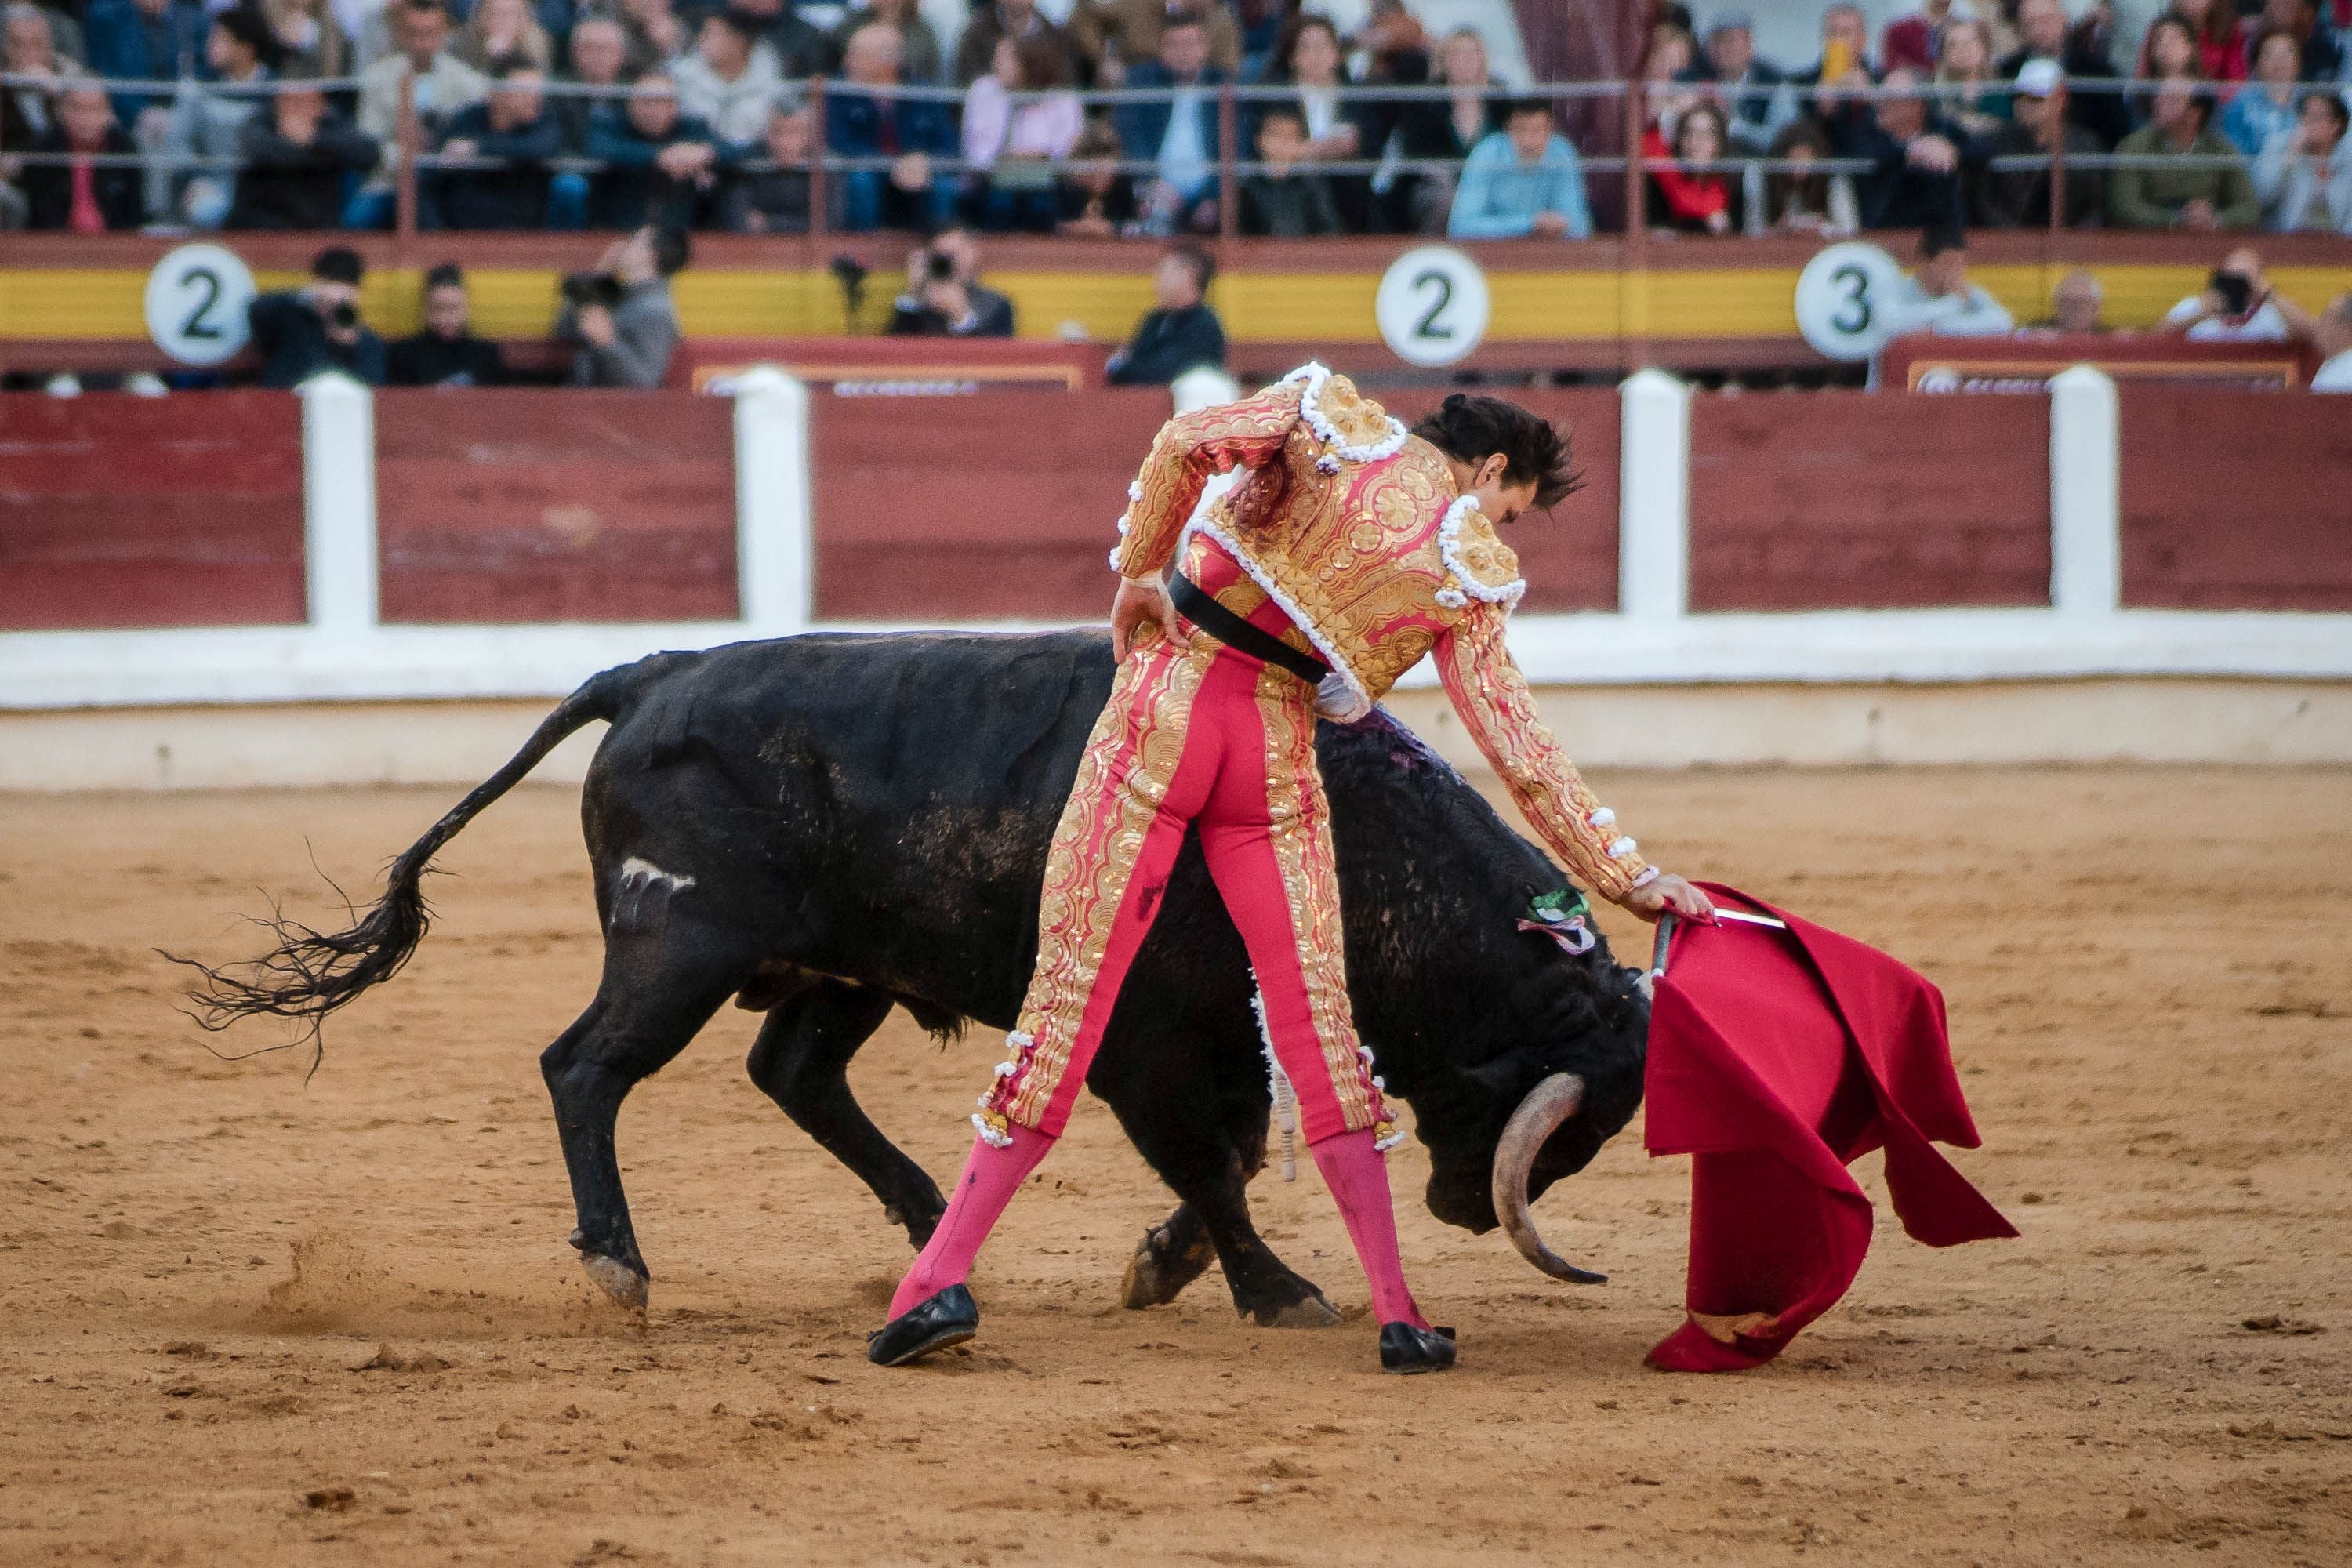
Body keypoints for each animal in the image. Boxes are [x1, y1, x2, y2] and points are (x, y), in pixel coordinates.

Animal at [183, 630, 1646, 1335]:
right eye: (1555, 1121)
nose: (1462, 1208)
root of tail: (654, 674)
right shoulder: (1144, 1043)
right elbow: (1210, 1162)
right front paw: (1273, 1289)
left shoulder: (1218, 1044)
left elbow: (1219, 1159)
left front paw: (1167, 1266)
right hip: (679, 948)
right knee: (584, 1066)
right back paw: (620, 1264)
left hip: (847, 967)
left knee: (792, 1072)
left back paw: (935, 1226)